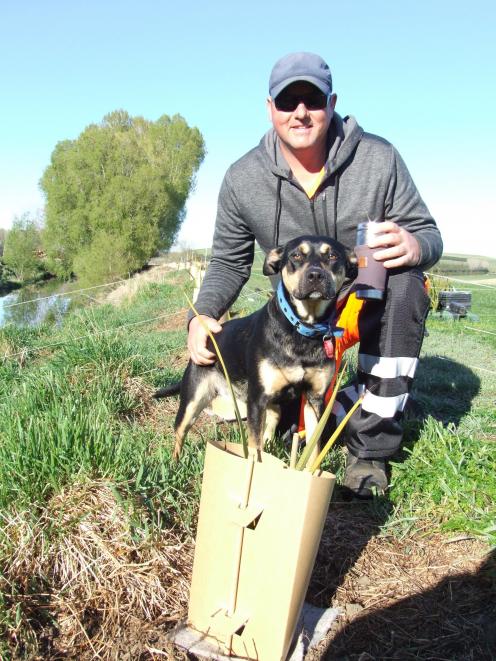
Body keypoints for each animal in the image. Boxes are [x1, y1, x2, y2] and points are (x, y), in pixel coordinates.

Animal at [155, 236, 356, 458]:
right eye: (296, 255)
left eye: (333, 256)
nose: (315, 275)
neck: (303, 330)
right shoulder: (256, 399)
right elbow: (254, 448)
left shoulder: (315, 398)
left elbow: (313, 448)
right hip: (193, 398)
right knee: (179, 431)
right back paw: (175, 462)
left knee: (272, 421)